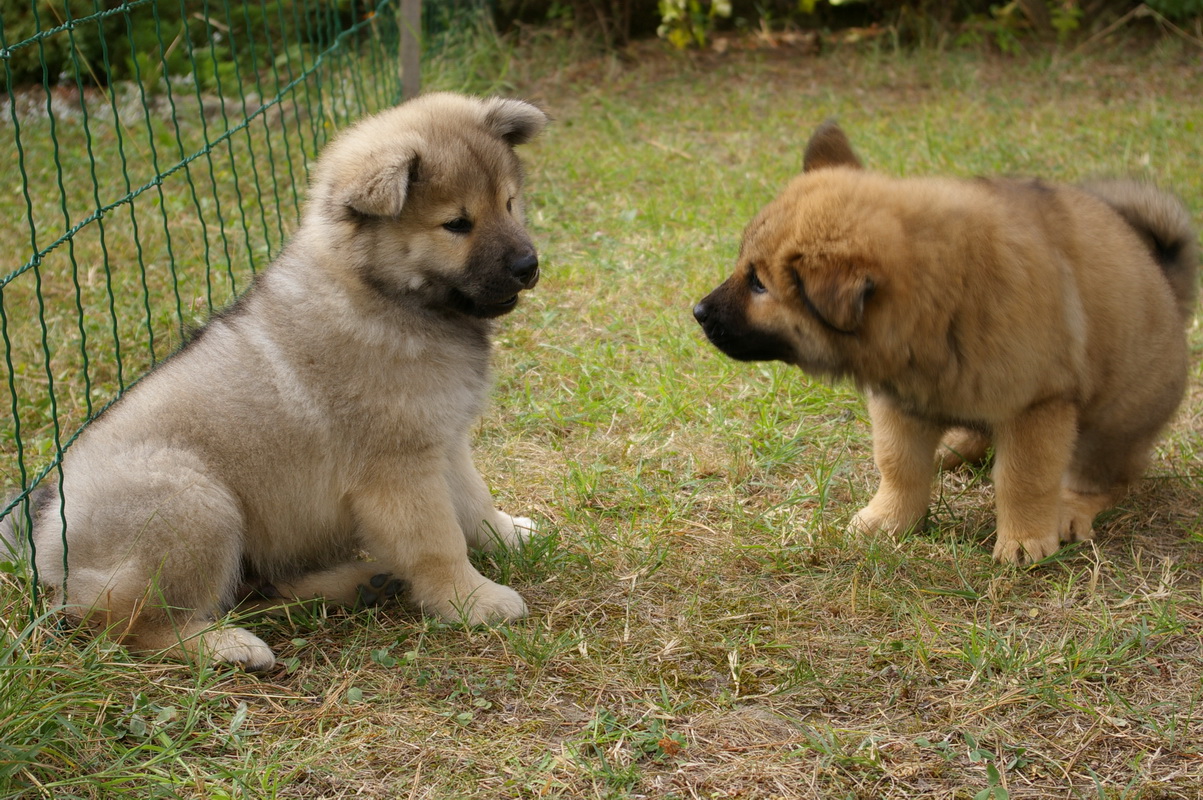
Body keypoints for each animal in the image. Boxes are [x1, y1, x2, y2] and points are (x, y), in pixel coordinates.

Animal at [15, 92, 550, 668]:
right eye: (456, 223)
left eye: (509, 203)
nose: (528, 265)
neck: (384, 295)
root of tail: (47, 550)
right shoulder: (401, 469)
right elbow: (439, 541)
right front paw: (472, 600)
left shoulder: (445, 442)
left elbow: (474, 501)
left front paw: (507, 535)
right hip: (196, 505)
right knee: (129, 623)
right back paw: (225, 646)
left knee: (255, 588)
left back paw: (359, 585)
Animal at [692, 123, 1198, 560]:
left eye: (759, 284)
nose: (697, 312)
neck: (941, 298)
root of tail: (1170, 286)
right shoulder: (900, 402)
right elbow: (898, 465)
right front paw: (889, 520)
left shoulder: (1036, 405)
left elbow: (1023, 478)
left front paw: (1025, 540)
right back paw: (953, 447)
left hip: (1108, 427)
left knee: (1104, 481)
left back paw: (1071, 508)